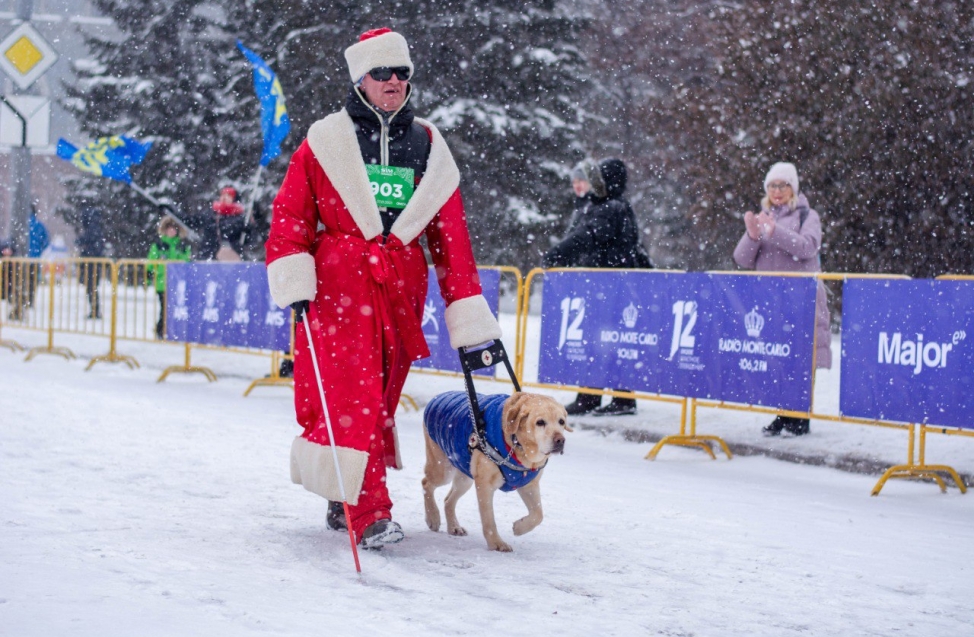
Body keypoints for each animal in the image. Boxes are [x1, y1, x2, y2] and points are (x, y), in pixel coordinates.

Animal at [422, 390, 572, 548]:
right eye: (540, 422)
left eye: (561, 421)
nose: (560, 440)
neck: (519, 448)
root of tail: (437, 397)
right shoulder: (485, 484)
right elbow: (489, 519)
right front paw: (496, 544)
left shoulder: (529, 485)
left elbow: (538, 514)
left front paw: (519, 527)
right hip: (442, 469)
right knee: (426, 483)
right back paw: (432, 517)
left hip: (464, 475)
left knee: (448, 500)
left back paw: (454, 527)